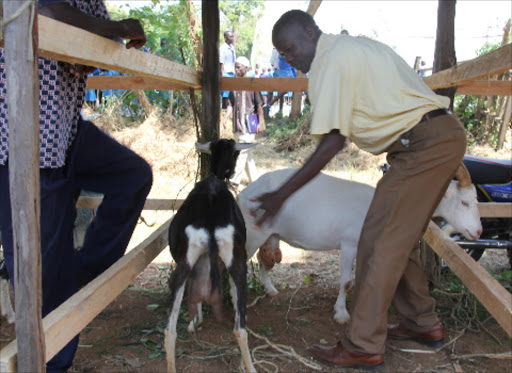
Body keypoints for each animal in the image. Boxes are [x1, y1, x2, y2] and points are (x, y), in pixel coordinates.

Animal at [165, 139, 256, 372]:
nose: (231, 172)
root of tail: (211, 216)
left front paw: (194, 321)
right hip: (238, 263)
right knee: (240, 328)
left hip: (183, 265)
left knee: (169, 331)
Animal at [238, 164, 482, 324]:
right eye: (464, 202)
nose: (478, 231)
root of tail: (244, 193)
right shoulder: (349, 243)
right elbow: (346, 281)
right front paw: (342, 314)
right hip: (251, 234)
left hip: (270, 234)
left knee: (262, 259)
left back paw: (270, 289)